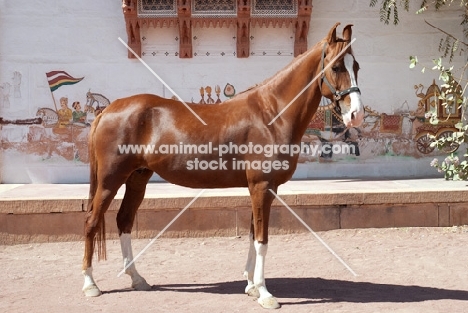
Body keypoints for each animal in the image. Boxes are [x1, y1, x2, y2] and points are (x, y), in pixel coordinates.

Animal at [81, 23, 366, 308]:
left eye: (356, 66)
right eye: (337, 67)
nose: (356, 115)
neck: (271, 116)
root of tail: (108, 110)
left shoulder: (259, 188)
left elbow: (252, 234)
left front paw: (251, 286)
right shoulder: (262, 186)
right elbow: (262, 239)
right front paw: (265, 294)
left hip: (137, 178)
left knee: (124, 221)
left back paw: (137, 279)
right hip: (110, 180)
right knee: (92, 221)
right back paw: (90, 284)